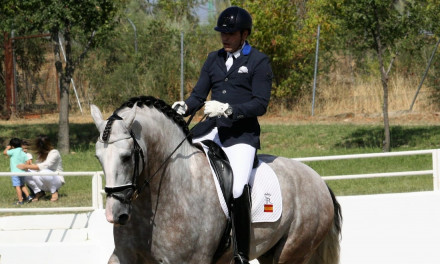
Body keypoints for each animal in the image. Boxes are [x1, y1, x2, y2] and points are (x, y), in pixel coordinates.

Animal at [91, 96, 342, 262]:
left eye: (126, 157)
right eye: (98, 158)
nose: (115, 215)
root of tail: (319, 181)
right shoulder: (123, 256)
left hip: (291, 251)